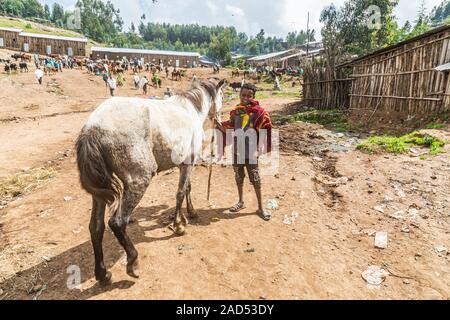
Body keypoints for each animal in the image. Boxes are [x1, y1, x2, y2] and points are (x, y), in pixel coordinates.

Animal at [76, 79, 229, 284]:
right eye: (222, 96)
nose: (219, 120)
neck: (191, 110)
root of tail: (92, 128)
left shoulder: (184, 164)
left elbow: (187, 188)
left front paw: (190, 213)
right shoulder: (188, 162)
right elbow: (181, 192)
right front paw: (179, 225)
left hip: (99, 193)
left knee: (96, 227)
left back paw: (102, 273)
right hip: (139, 180)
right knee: (117, 222)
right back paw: (133, 262)